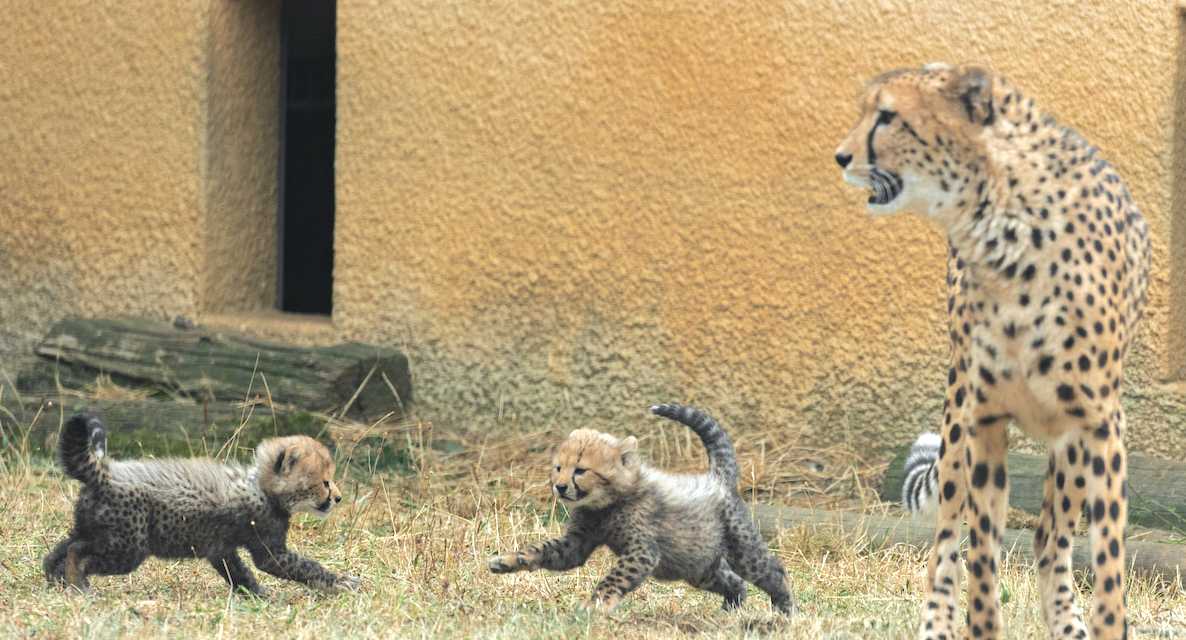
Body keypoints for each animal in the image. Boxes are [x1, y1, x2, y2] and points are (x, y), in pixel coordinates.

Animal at [834, 63, 1148, 640]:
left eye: (888, 116)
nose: (842, 157)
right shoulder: (984, 421)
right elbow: (978, 553)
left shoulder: (1100, 425)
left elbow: (1109, 558)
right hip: (959, 420)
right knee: (946, 541)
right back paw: (938, 622)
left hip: (1069, 448)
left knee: (1050, 537)